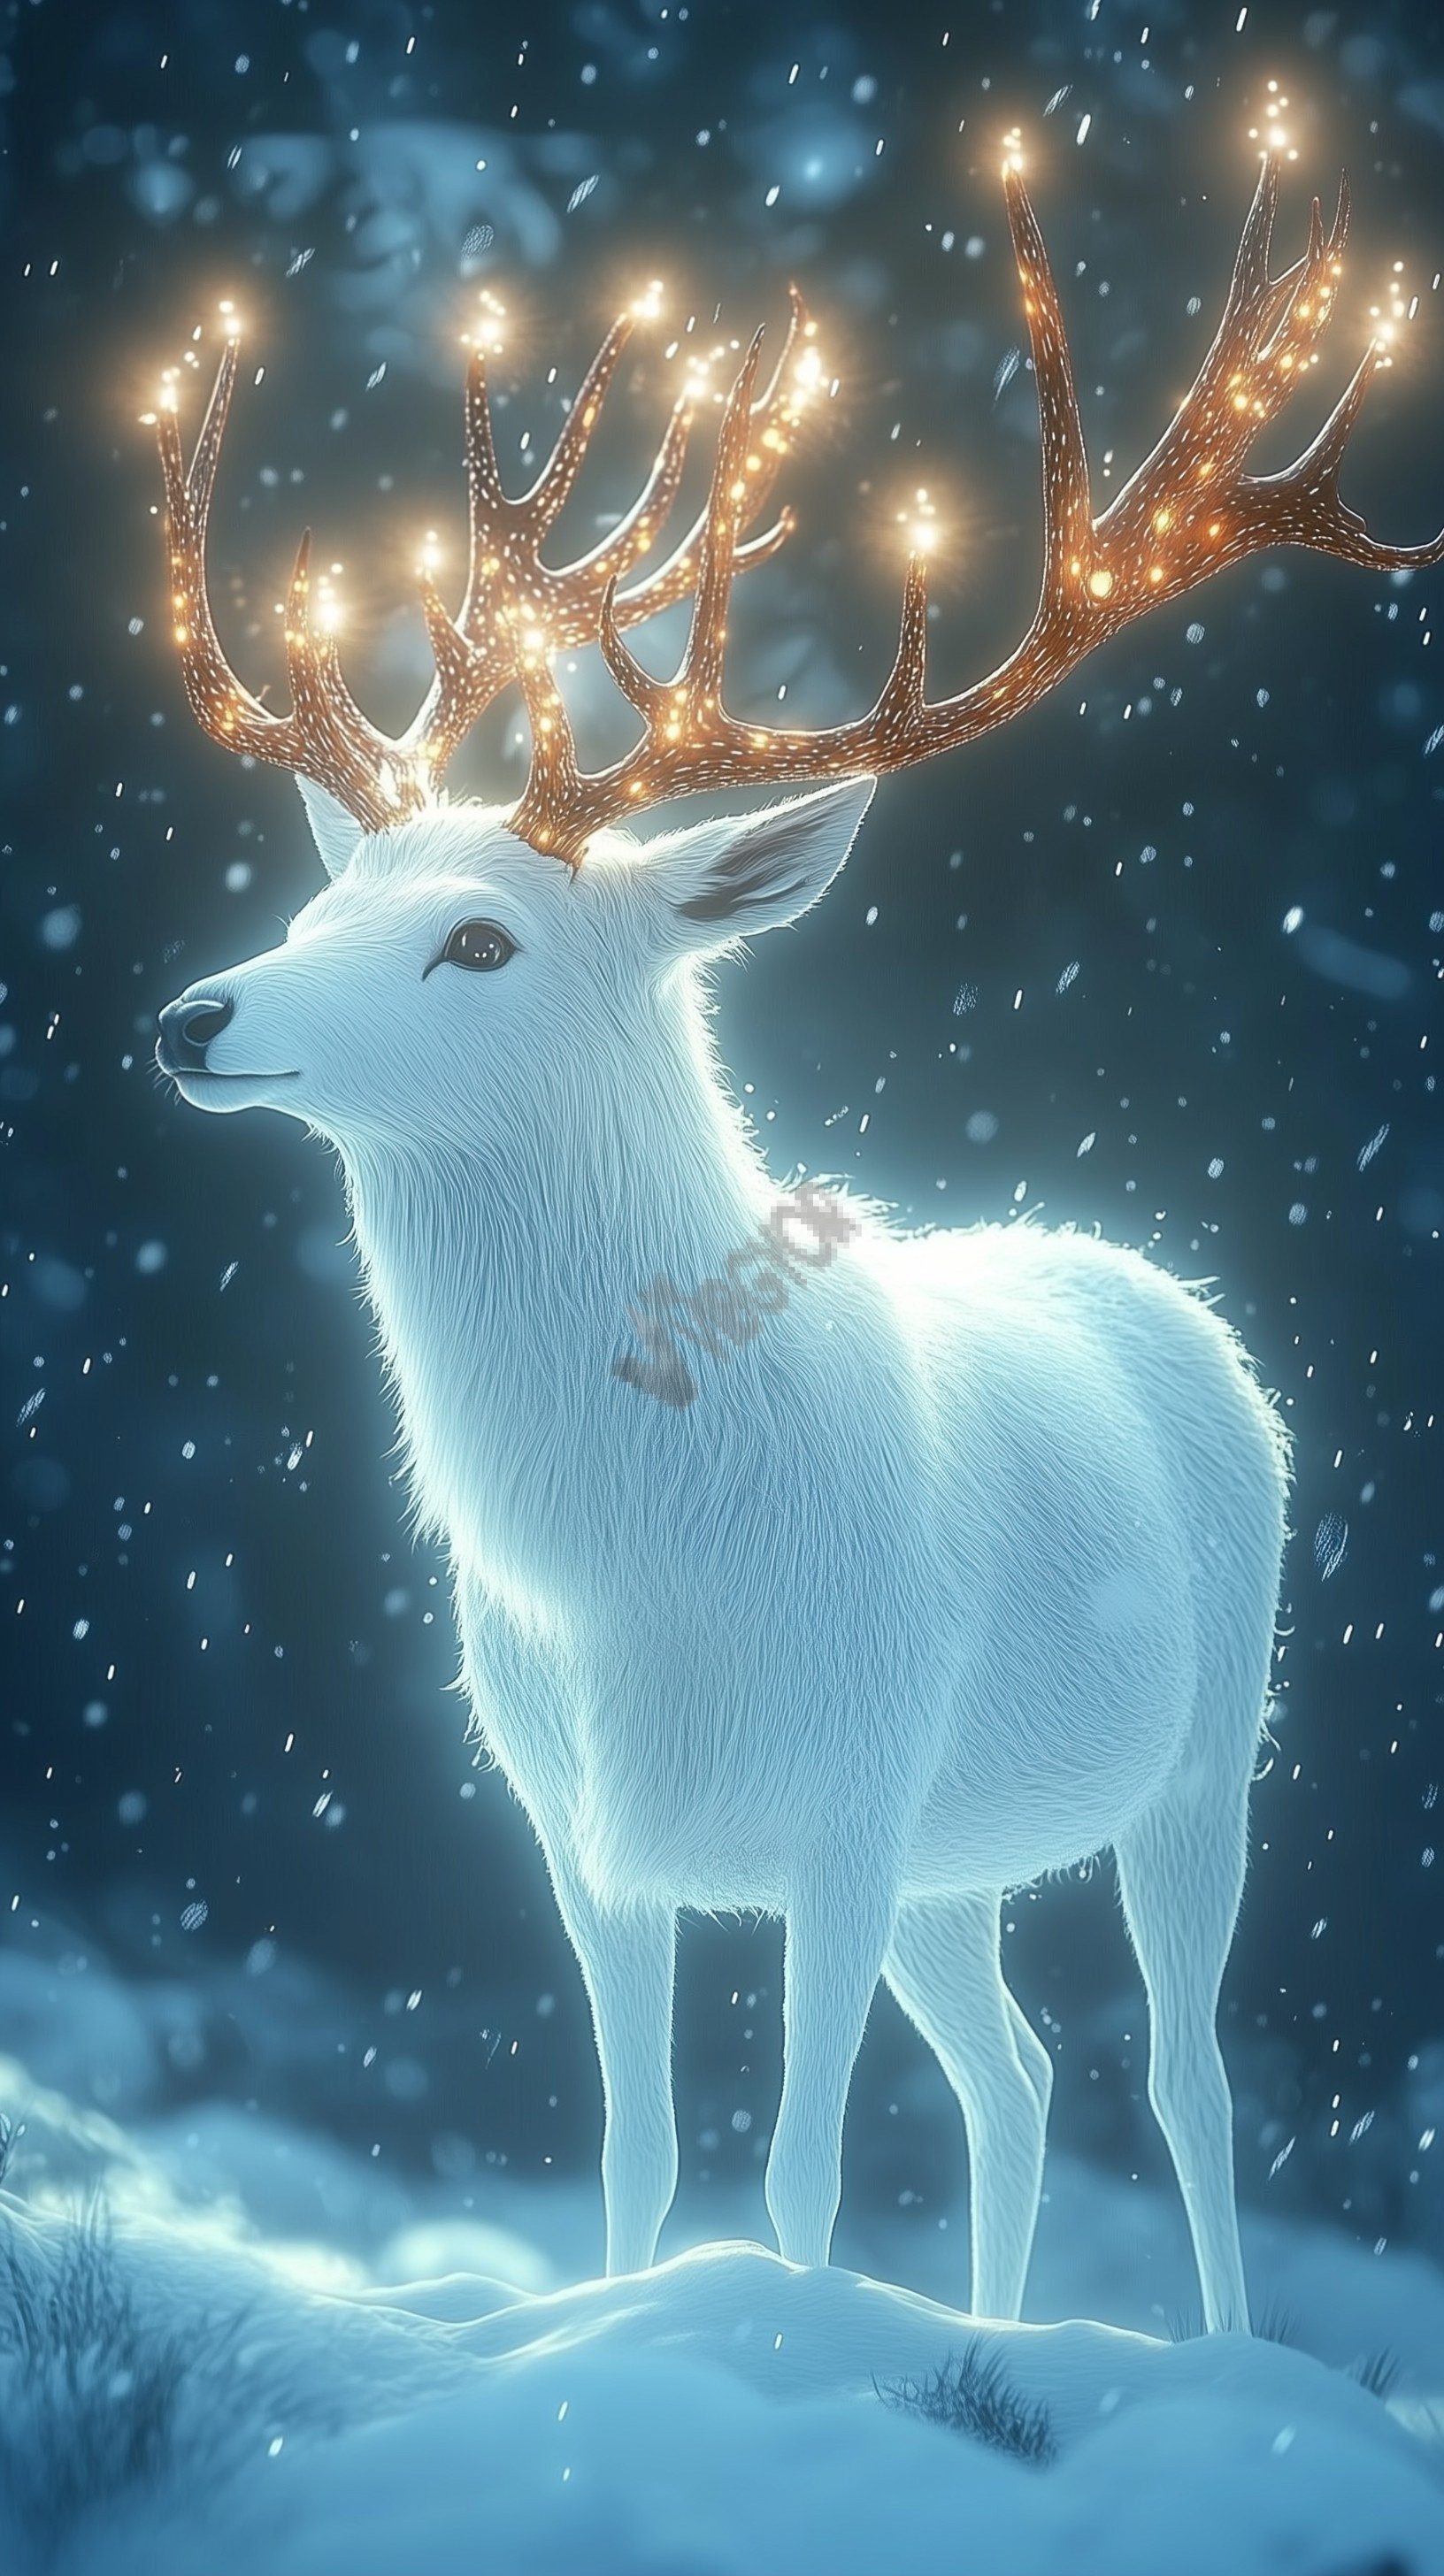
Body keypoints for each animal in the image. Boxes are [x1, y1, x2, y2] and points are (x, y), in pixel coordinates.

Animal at [151, 157, 1443, 2334]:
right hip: (959, 1860)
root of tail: (1149, 1276)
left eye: (481, 937)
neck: (646, 1562)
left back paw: (1222, 2351)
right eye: (331, 900)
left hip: (1199, 1760)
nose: (191, 1017)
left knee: (1182, 2080)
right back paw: (1003, 2322)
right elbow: (637, 2155)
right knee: (1019, 2077)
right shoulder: (579, 1829)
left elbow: (801, 2172)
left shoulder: (850, 1788)